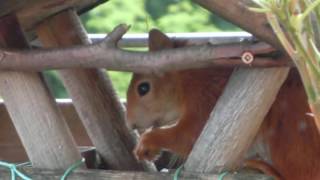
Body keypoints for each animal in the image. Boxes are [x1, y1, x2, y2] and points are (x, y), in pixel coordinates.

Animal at [125, 28, 320, 179]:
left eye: (143, 88)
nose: (130, 123)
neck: (187, 80)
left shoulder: (207, 96)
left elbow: (190, 135)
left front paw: (147, 142)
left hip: (291, 135)